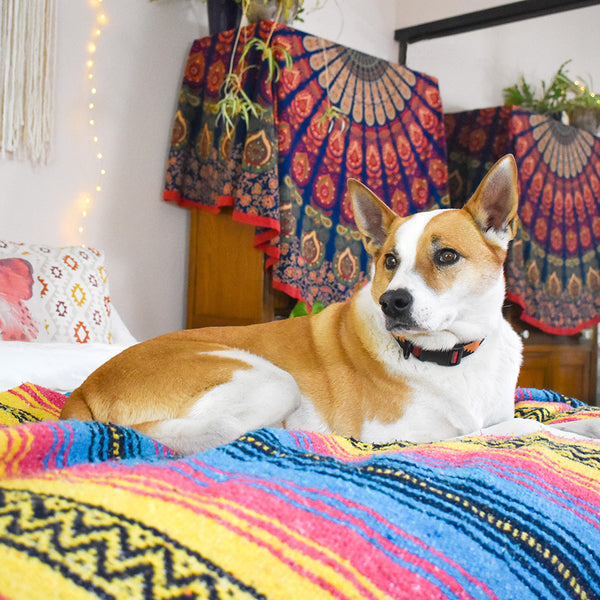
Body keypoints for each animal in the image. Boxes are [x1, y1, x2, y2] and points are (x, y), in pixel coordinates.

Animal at [61, 155, 524, 454]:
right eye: (390, 261)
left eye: (446, 256)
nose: (392, 302)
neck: (452, 353)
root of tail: (84, 389)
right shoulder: (390, 432)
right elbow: (482, 431)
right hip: (270, 379)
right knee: (184, 434)